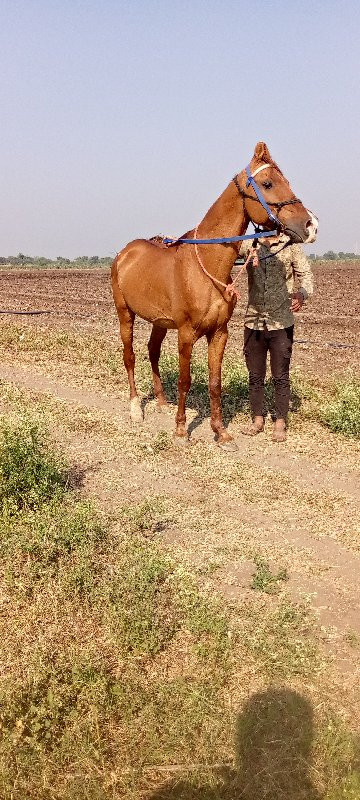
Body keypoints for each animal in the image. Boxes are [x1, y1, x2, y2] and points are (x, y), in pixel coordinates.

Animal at [111, 141, 316, 446]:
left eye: (286, 181)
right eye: (268, 183)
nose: (311, 224)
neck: (207, 267)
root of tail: (125, 253)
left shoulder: (219, 333)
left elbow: (214, 382)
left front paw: (221, 432)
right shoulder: (186, 334)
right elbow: (185, 380)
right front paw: (181, 429)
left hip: (160, 322)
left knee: (152, 351)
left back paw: (161, 401)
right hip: (125, 314)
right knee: (130, 356)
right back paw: (136, 408)